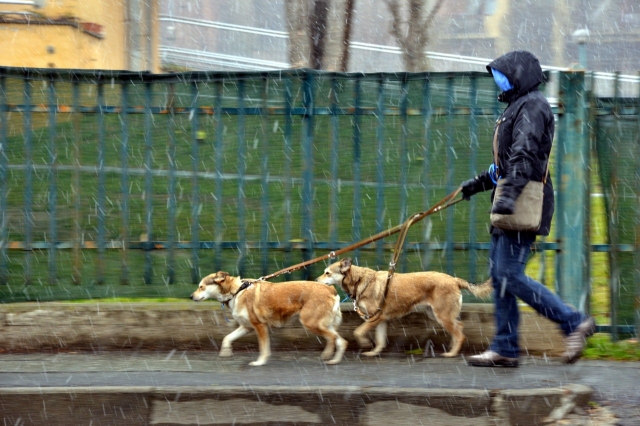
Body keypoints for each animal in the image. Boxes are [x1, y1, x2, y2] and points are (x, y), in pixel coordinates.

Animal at [192, 272, 348, 366]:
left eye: (201, 287)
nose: (190, 296)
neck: (236, 291)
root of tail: (331, 289)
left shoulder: (260, 326)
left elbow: (263, 348)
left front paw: (259, 362)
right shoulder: (246, 327)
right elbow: (227, 337)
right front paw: (225, 352)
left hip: (310, 323)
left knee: (333, 338)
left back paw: (327, 355)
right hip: (323, 324)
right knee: (342, 341)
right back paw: (334, 360)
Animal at [316, 258, 490, 358]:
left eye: (327, 273)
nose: (316, 280)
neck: (359, 280)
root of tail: (455, 280)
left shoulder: (374, 318)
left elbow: (357, 331)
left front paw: (364, 343)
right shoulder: (380, 320)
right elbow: (380, 340)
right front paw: (374, 352)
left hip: (442, 316)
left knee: (460, 333)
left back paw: (452, 353)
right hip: (436, 315)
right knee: (459, 327)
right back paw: (452, 348)